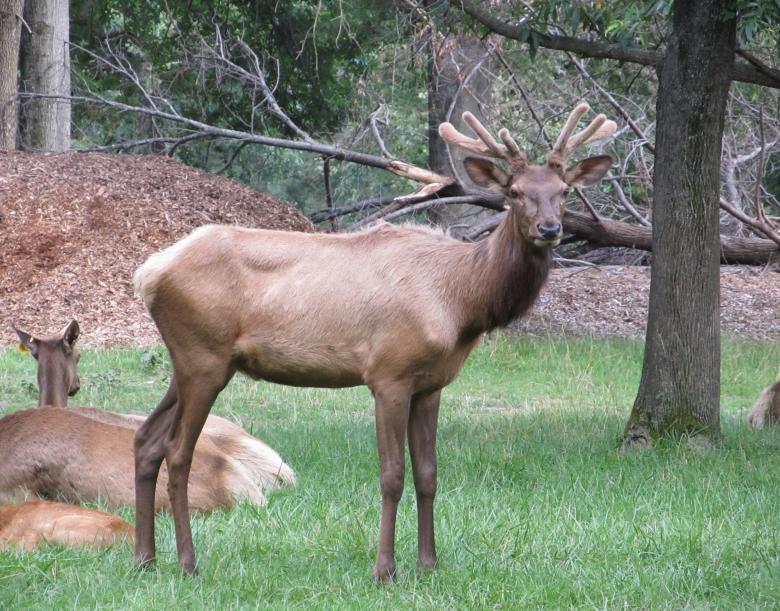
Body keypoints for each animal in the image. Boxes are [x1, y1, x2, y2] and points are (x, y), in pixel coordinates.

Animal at [132, 103, 616, 579]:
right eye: (514, 191)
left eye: (564, 191)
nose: (549, 228)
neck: (460, 301)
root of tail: (148, 273)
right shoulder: (389, 373)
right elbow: (392, 475)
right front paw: (385, 569)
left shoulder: (432, 384)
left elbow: (428, 474)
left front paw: (428, 564)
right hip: (204, 357)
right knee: (178, 451)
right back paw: (187, 564)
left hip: (190, 362)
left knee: (146, 439)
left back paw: (144, 558)